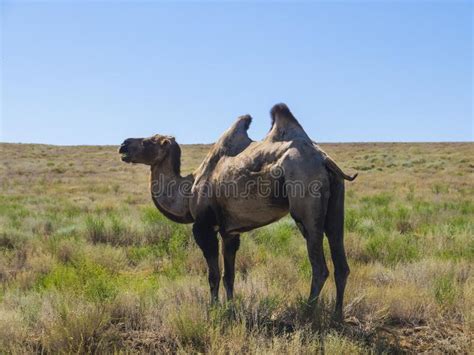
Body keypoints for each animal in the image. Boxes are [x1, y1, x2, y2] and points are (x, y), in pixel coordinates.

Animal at [120, 103, 358, 320]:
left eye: (148, 141)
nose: (123, 145)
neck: (187, 193)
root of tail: (324, 159)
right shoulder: (230, 232)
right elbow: (229, 275)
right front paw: (230, 309)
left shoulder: (204, 227)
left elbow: (213, 274)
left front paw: (214, 310)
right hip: (336, 203)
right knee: (340, 258)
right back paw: (337, 316)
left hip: (305, 201)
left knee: (319, 266)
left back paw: (307, 314)